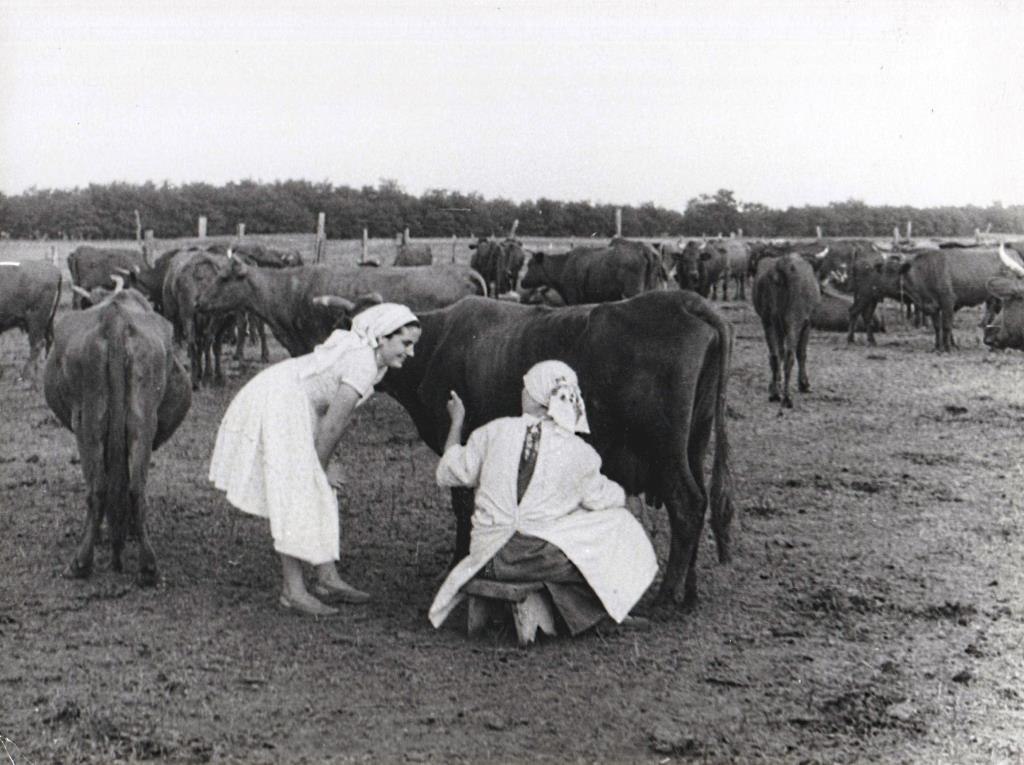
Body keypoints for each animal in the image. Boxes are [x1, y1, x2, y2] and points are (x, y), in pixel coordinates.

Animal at [43, 286, 191, 585]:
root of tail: (116, 319)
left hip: (87, 421)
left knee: (97, 488)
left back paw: (81, 563)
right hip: (142, 421)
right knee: (135, 488)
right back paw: (147, 567)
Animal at [376, 292, 737, 610]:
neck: (437, 342)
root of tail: (685, 300)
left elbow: (464, 508)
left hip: (666, 455)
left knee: (687, 506)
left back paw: (664, 599)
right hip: (694, 445)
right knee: (701, 503)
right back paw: (688, 594)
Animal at [524, 236, 667, 305]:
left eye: (530, 265)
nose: (522, 282)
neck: (563, 265)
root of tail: (644, 248)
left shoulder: (573, 298)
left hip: (633, 292)